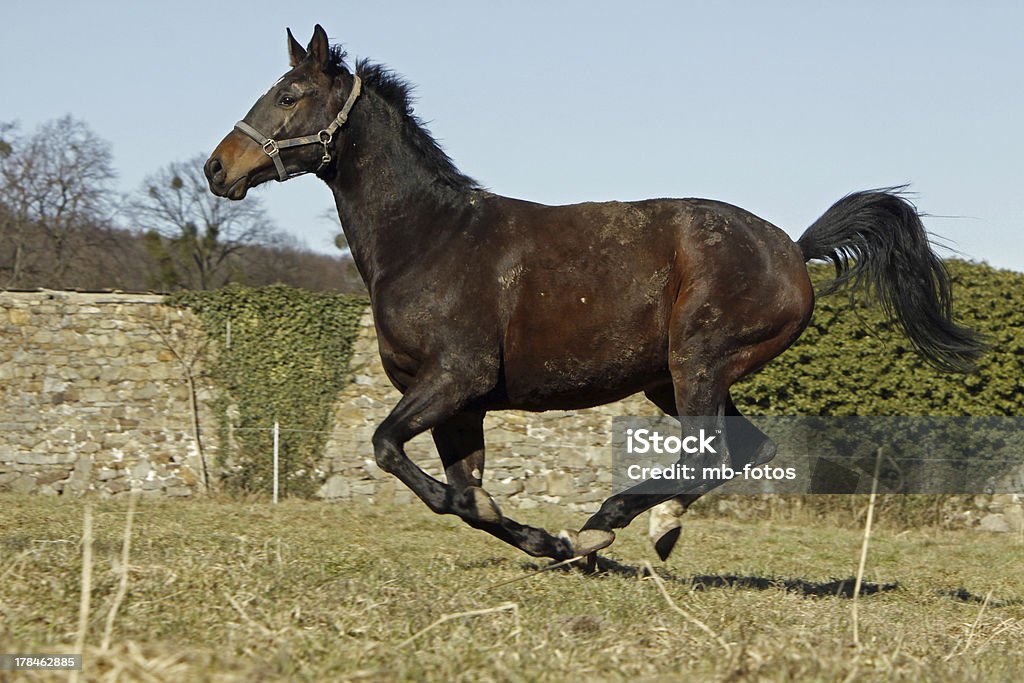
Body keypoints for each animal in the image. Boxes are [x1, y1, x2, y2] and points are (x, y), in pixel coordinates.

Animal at [205, 24, 983, 565]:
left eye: (288, 96)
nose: (218, 168)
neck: (429, 238)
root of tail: (792, 247)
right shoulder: (461, 404)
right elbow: (468, 498)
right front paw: (543, 543)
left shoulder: (455, 378)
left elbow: (390, 450)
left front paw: (560, 542)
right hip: (673, 378)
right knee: (742, 447)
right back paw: (632, 529)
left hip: (698, 359)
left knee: (709, 451)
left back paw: (618, 525)